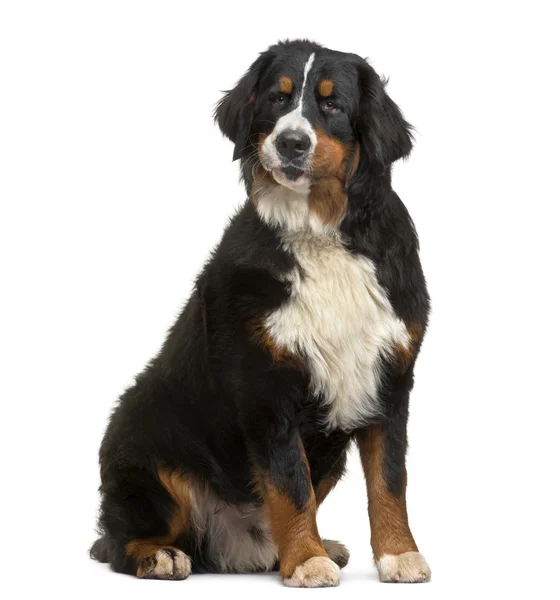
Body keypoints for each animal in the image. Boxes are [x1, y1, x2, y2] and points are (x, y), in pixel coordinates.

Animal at [91, 39, 434, 588]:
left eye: (332, 105)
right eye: (277, 98)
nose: (292, 142)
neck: (321, 232)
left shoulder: (391, 378)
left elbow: (390, 480)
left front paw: (399, 555)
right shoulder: (266, 385)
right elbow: (289, 482)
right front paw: (307, 560)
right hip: (141, 444)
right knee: (120, 540)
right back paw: (159, 555)